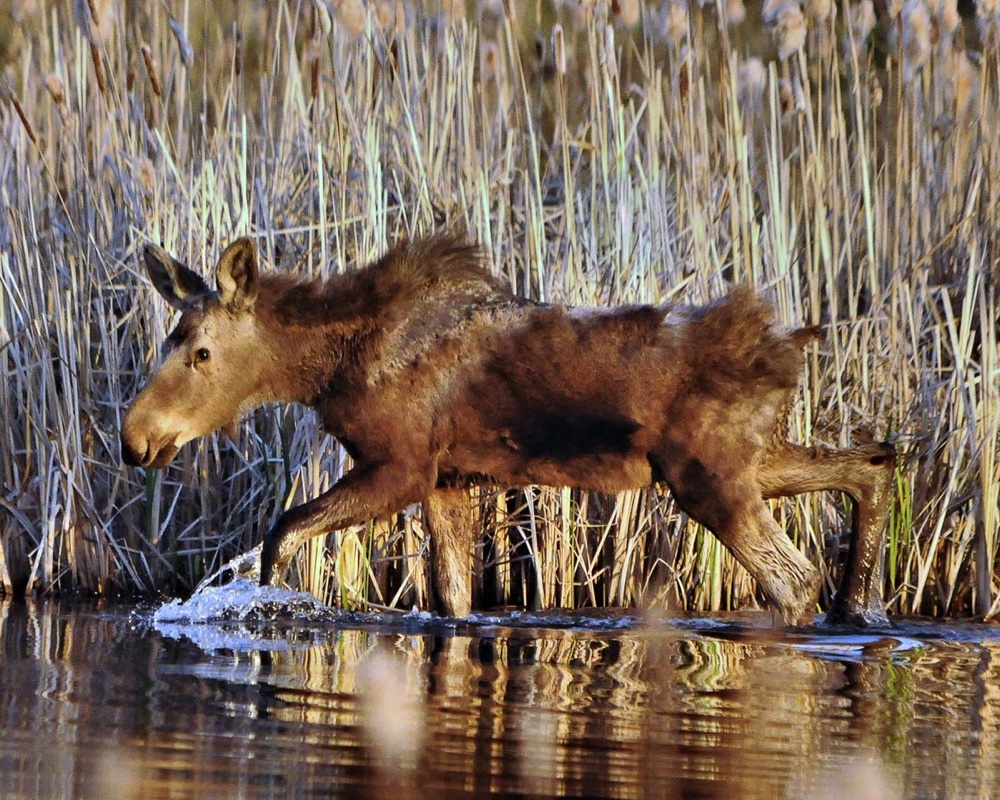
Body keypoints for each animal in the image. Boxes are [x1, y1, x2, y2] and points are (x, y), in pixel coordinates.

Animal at [120, 233, 896, 626]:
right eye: (167, 339)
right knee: (873, 462)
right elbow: (456, 600)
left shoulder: (399, 465)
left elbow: (281, 532)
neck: (328, 369)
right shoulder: (446, 482)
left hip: (709, 477)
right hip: (745, 461)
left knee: (794, 577)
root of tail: (787, 346)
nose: (135, 437)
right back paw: (860, 606)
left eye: (201, 352)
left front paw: (266, 605)